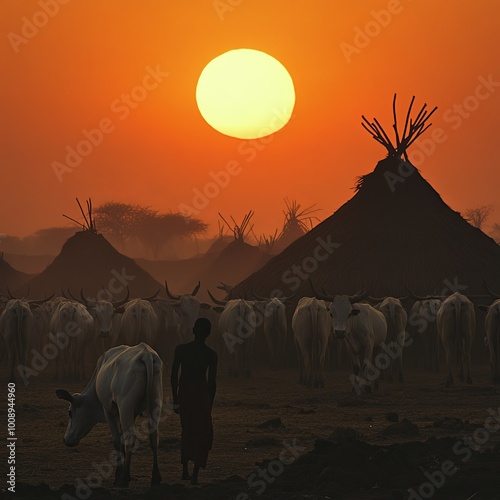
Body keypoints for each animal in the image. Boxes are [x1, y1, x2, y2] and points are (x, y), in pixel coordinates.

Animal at [56, 342, 162, 486]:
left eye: (70, 412)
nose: (65, 439)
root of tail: (146, 354)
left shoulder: (108, 410)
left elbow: (117, 440)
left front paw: (118, 474)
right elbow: (121, 438)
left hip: (125, 406)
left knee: (130, 439)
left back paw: (123, 479)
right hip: (154, 405)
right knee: (154, 439)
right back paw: (156, 477)